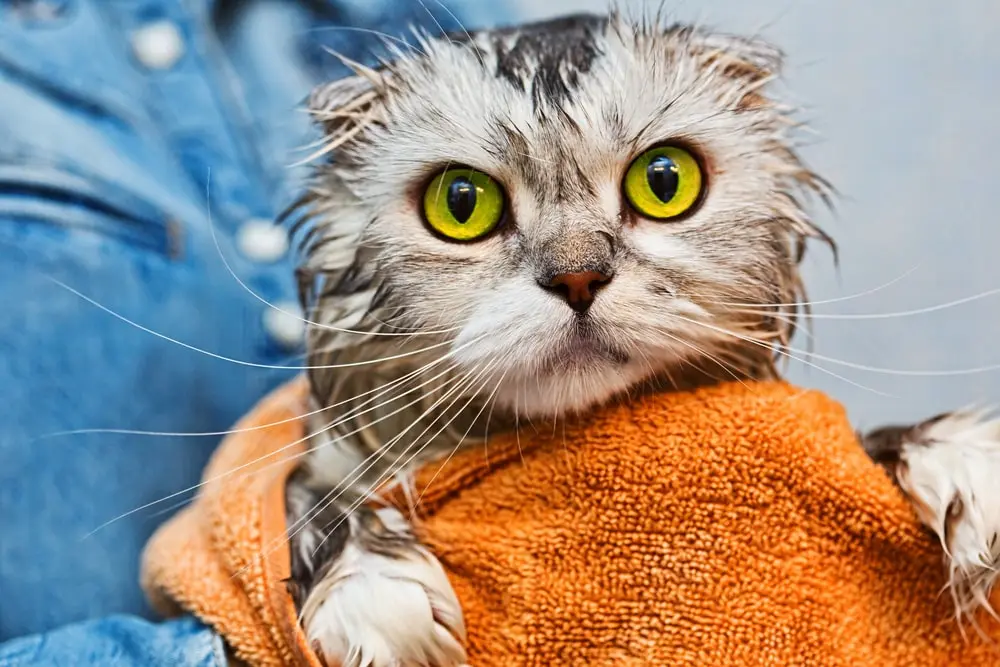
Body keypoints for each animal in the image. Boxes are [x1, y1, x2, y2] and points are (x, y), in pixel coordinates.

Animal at [280, 11, 1000, 667]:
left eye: (664, 181)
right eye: (462, 202)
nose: (576, 275)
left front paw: (959, 458)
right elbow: (305, 491)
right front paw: (375, 592)